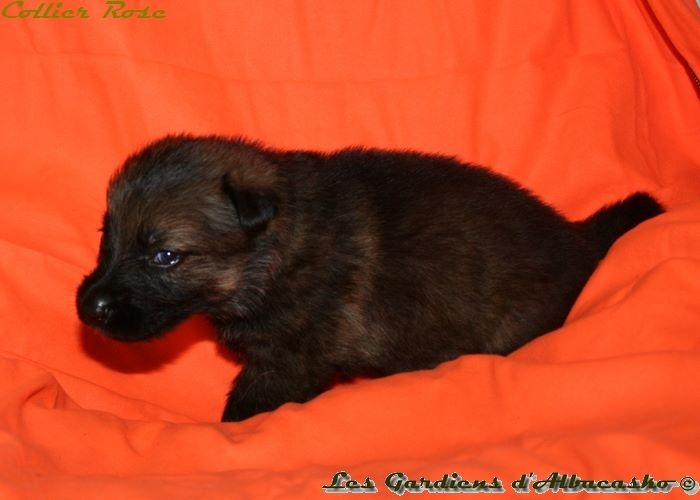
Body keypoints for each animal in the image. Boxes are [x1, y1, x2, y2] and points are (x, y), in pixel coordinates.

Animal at [76, 135, 663, 421]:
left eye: (166, 256)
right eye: (108, 238)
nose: (89, 307)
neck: (275, 254)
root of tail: (574, 237)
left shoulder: (288, 362)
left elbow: (243, 410)